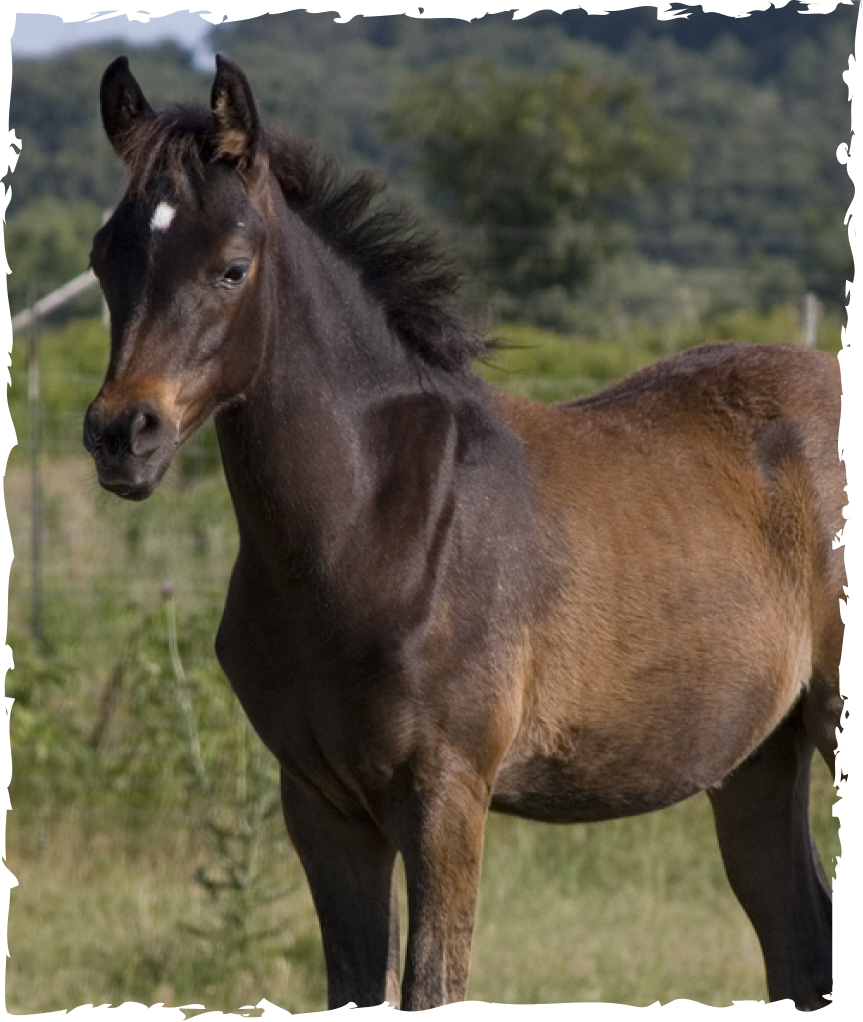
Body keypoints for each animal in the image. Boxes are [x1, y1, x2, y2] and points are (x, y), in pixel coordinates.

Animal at [84, 55, 843, 1011]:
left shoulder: (445, 793)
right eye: (103, 259)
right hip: (755, 757)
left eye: (231, 267)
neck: (368, 525)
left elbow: (430, 983)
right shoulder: (320, 803)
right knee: (798, 937)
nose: (122, 435)